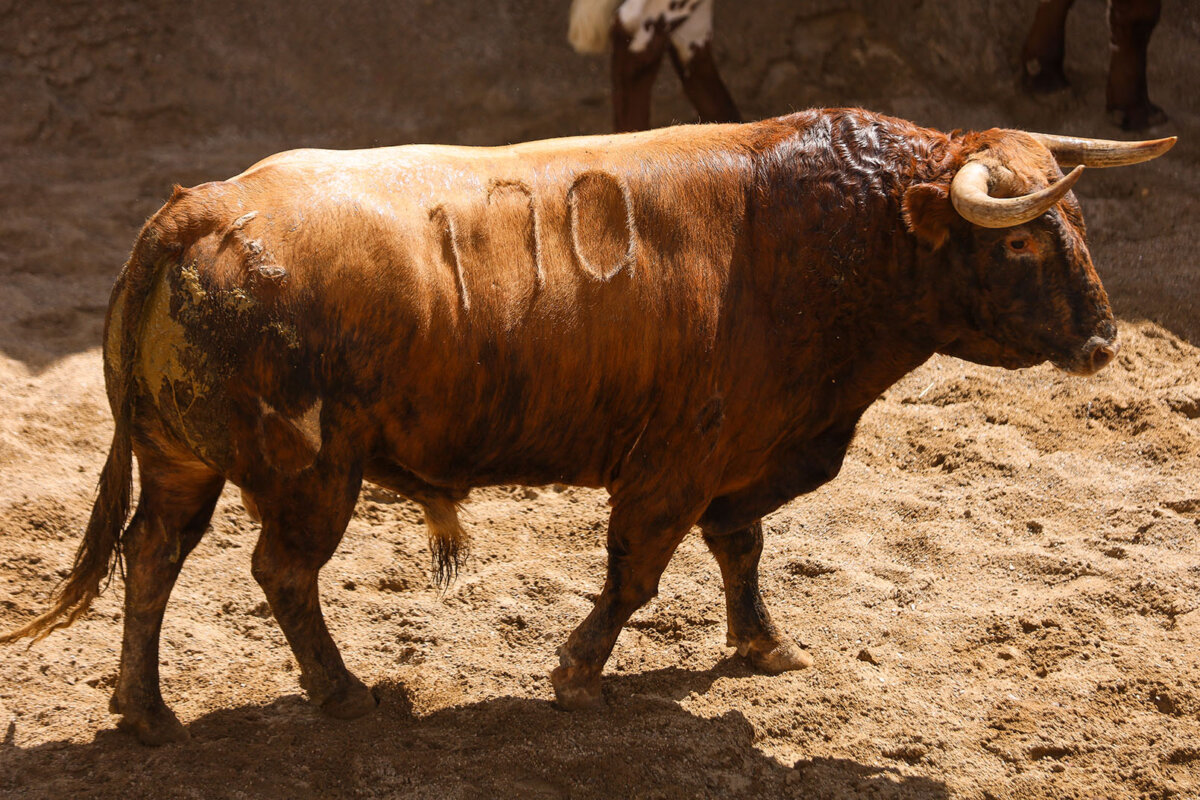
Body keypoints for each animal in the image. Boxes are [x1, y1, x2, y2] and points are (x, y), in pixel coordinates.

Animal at [0, 109, 1173, 745]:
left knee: (154, 555)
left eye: (1075, 219)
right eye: (1018, 243)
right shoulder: (676, 464)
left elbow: (741, 548)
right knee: (278, 571)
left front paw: (764, 644)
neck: (820, 239)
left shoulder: (740, 457)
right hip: (310, 473)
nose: (1106, 340)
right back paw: (342, 691)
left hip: (182, 460)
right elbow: (637, 572)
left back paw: (147, 712)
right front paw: (577, 669)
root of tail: (193, 209)